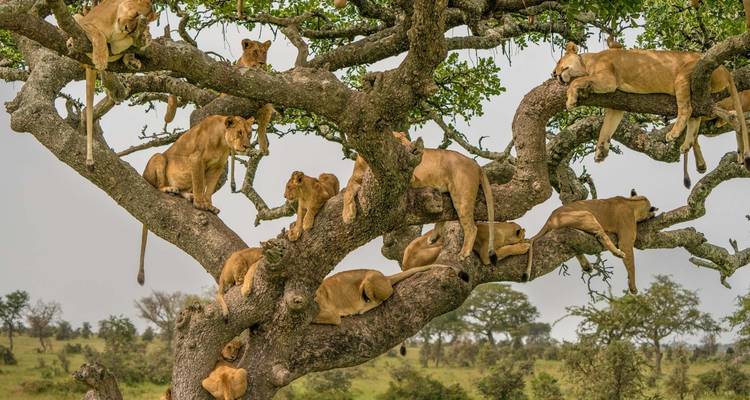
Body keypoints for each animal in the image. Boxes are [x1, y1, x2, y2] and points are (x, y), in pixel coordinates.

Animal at [70, 0, 157, 168]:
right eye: (136, 14)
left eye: (137, 25)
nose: (127, 28)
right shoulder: (87, 22)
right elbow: (98, 34)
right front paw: (100, 58)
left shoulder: (119, 45)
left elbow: (125, 44)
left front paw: (145, 37)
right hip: (77, 17)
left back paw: (132, 61)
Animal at [137, 115, 253, 285]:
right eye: (239, 132)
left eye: (249, 134)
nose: (246, 146)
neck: (222, 142)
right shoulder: (196, 159)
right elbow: (199, 183)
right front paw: (200, 203)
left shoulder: (217, 166)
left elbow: (209, 189)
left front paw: (209, 205)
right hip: (158, 158)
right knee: (157, 185)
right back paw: (169, 189)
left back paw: (187, 195)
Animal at [342, 132, 495, 261]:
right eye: (398, 141)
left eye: (407, 139)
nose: (413, 149)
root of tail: (474, 163)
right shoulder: (356, 179)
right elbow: (347, 191)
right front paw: (348, 215)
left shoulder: (410, 178)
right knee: (445, 215)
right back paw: (434, 237)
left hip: (461, 195)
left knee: (471, 227)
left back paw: (463, 253)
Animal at [526, 190, 658, 294]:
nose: (653, 214)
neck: (632, 203)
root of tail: (549, 218)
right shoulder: (626, 241)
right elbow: (631, 265)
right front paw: (633, 287)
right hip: (587, 214)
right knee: (600, 236)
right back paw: (617, 253)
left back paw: (587, 266)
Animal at [553, 42, 750, 170]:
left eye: (559, 62)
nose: (553, 73)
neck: (587, 61)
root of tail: (725, 68)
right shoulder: (616, 105)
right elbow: (606, 128)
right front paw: (600, 151)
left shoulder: (607, 80)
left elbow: (576, 81)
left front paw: (570, 99)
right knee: (696, 115)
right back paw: (686, 144)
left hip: (684, 76)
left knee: (687, 109)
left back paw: (674, 134)